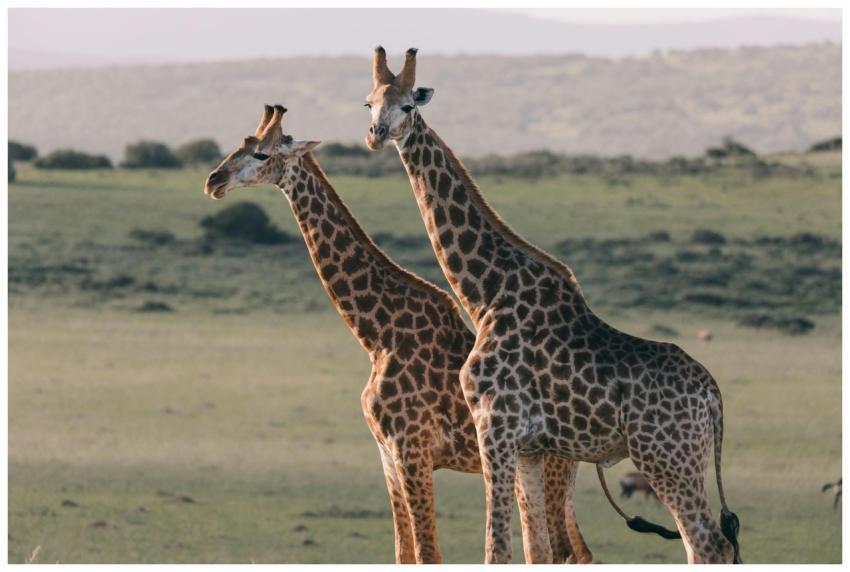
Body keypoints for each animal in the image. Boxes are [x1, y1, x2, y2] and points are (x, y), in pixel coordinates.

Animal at [202, 104, 594, 564]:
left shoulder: (412, 451)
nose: (214, 181)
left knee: (566, 551)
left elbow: (427, 553)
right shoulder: (387, 456)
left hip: (549, 463)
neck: (378, 334)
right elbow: (403, 552)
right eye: (240, 144)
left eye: (262, 154)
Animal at [362, 47, 742, 564]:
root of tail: (713, 395)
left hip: (666, 456)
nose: (376, 135)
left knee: (708, 544)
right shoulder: (528, 447)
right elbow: (534, 550)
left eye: (407, 105)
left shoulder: (494, 425)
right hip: (682, 459)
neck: (486, 294)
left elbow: (497, 548)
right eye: (369, 103)